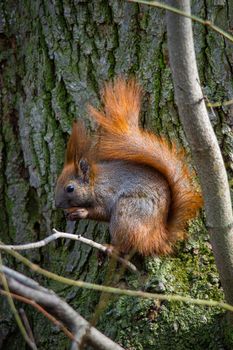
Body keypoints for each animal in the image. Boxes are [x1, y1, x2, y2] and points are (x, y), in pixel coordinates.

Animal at [54, 78, 202, 256]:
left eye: (70, 188)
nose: (57, 205)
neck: (96, 183)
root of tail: (157, 238)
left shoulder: (106, 194)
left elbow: (102, 212)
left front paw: (81, 212)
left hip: (126, 215)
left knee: (126, 245)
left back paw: (111, 248)